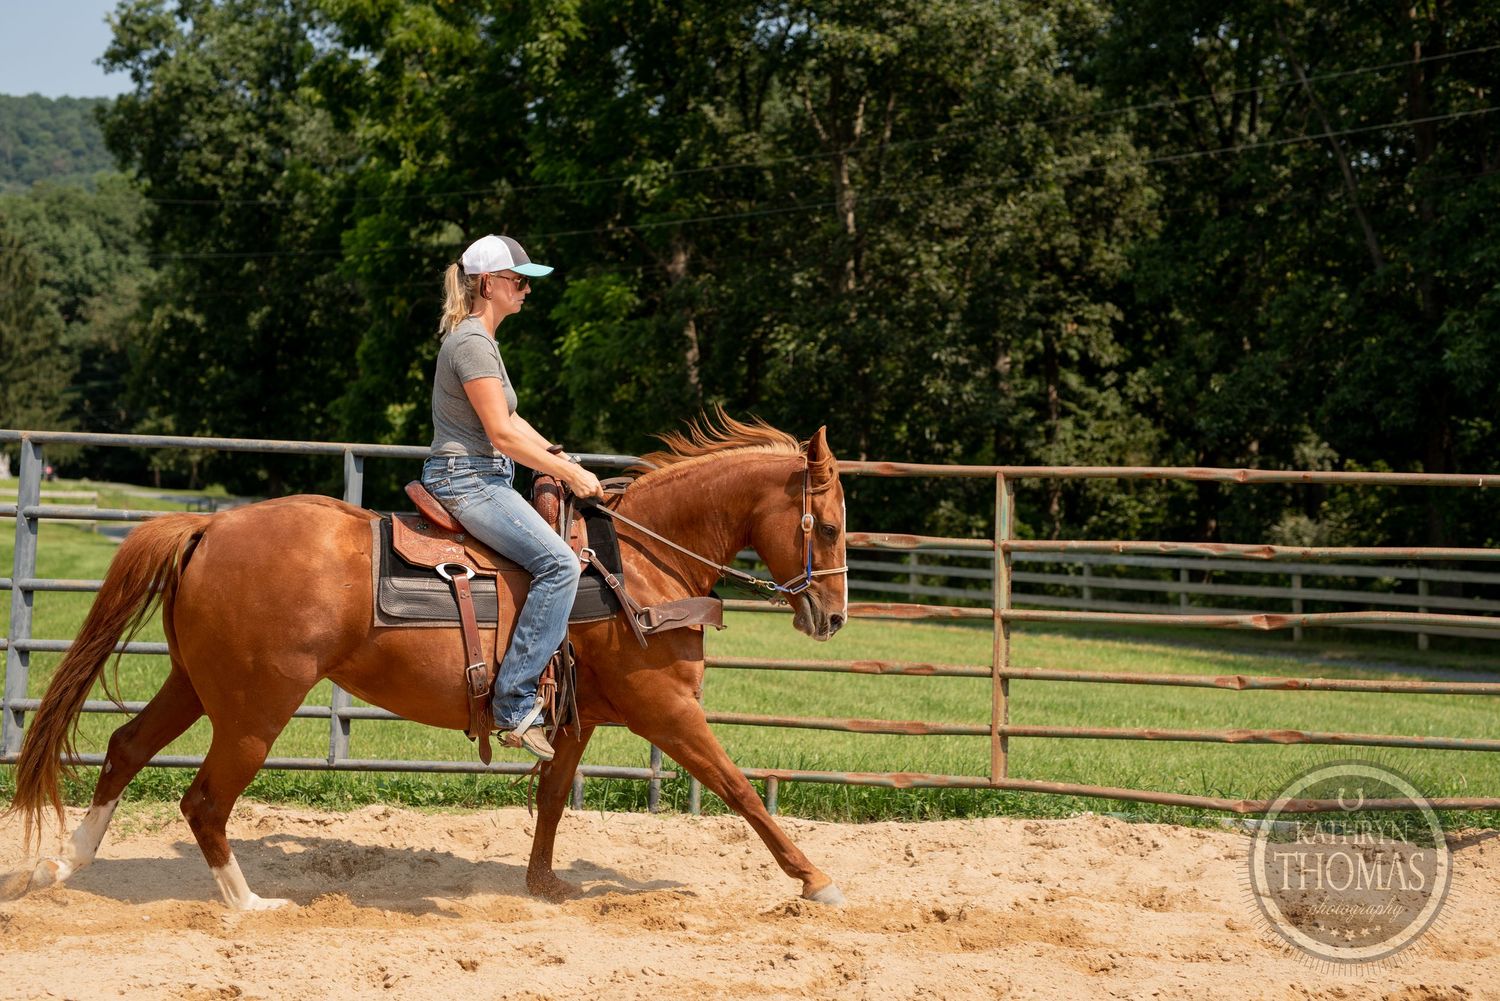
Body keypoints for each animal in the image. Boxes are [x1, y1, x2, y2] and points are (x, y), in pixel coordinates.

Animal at [6, 417, 849, 910]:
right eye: (834, 524)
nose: (833, 616)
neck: (633, 565)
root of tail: (210, 527)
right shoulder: (666, 709)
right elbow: (739, 787)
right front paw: (814, 878)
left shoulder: (578, 717)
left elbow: (552, 796)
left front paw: (544, 883)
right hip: (254, 709)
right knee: (206, 800)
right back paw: (249, 906)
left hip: (196, 685)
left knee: (126, 748)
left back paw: (61, 867)